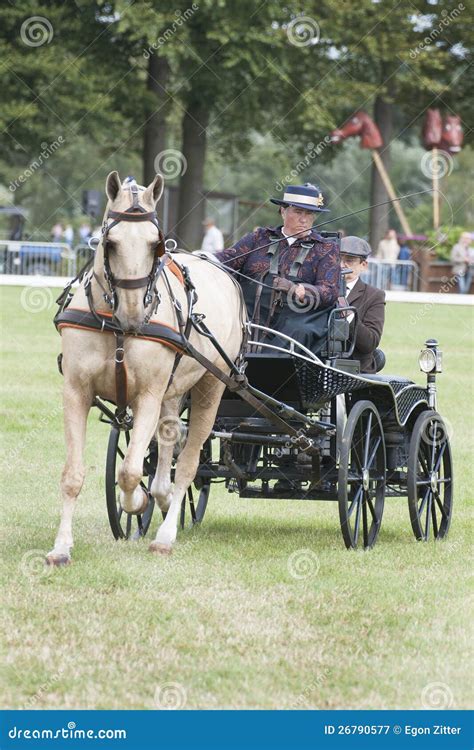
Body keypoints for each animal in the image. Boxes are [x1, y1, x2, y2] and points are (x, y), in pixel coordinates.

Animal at [47, 173, 246, 568]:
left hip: (210, 386)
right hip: (173, 391)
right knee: (170, 439)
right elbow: (73, 475)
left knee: (189, 460)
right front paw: (61, 547)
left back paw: (165, 533)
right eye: (110, 243)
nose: (134, 314)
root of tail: (224, 273)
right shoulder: (76, 391)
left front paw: (137, 502)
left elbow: (130, 471)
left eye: (156, 246)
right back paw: (164, 497)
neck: (117, 327)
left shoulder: (148, 398)